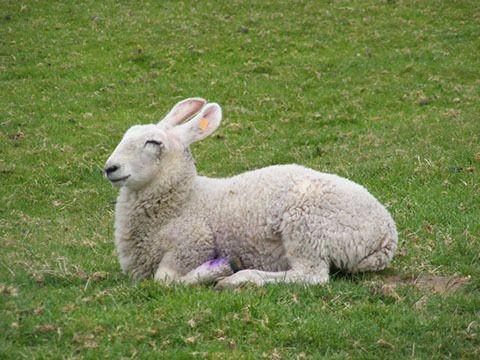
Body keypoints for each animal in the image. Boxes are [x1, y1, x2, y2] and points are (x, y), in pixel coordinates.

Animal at [105, 98, 398, 290]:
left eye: (153, 143)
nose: (110, 168)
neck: (185, 199)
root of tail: (387, 233)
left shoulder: (193, 243)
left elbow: (164, 280)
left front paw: (214, 271)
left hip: (307, 227)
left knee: (310, 275)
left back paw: (239, 278)